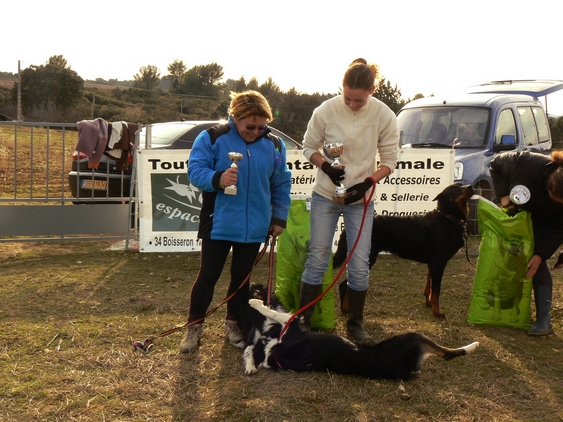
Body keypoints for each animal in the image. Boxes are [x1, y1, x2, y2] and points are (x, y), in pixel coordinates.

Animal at [334, 183, 476, 318]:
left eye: (461, 184)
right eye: (453, 189)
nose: (470, 186)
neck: (448, 218)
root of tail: (347, 228)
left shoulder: (432, 264)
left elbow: (429, 286)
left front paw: (429, 303)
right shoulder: (438, 264)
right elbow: (436, 291)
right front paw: (437, 312)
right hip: (367, 258)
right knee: (344, 285)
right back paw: (346, 311)